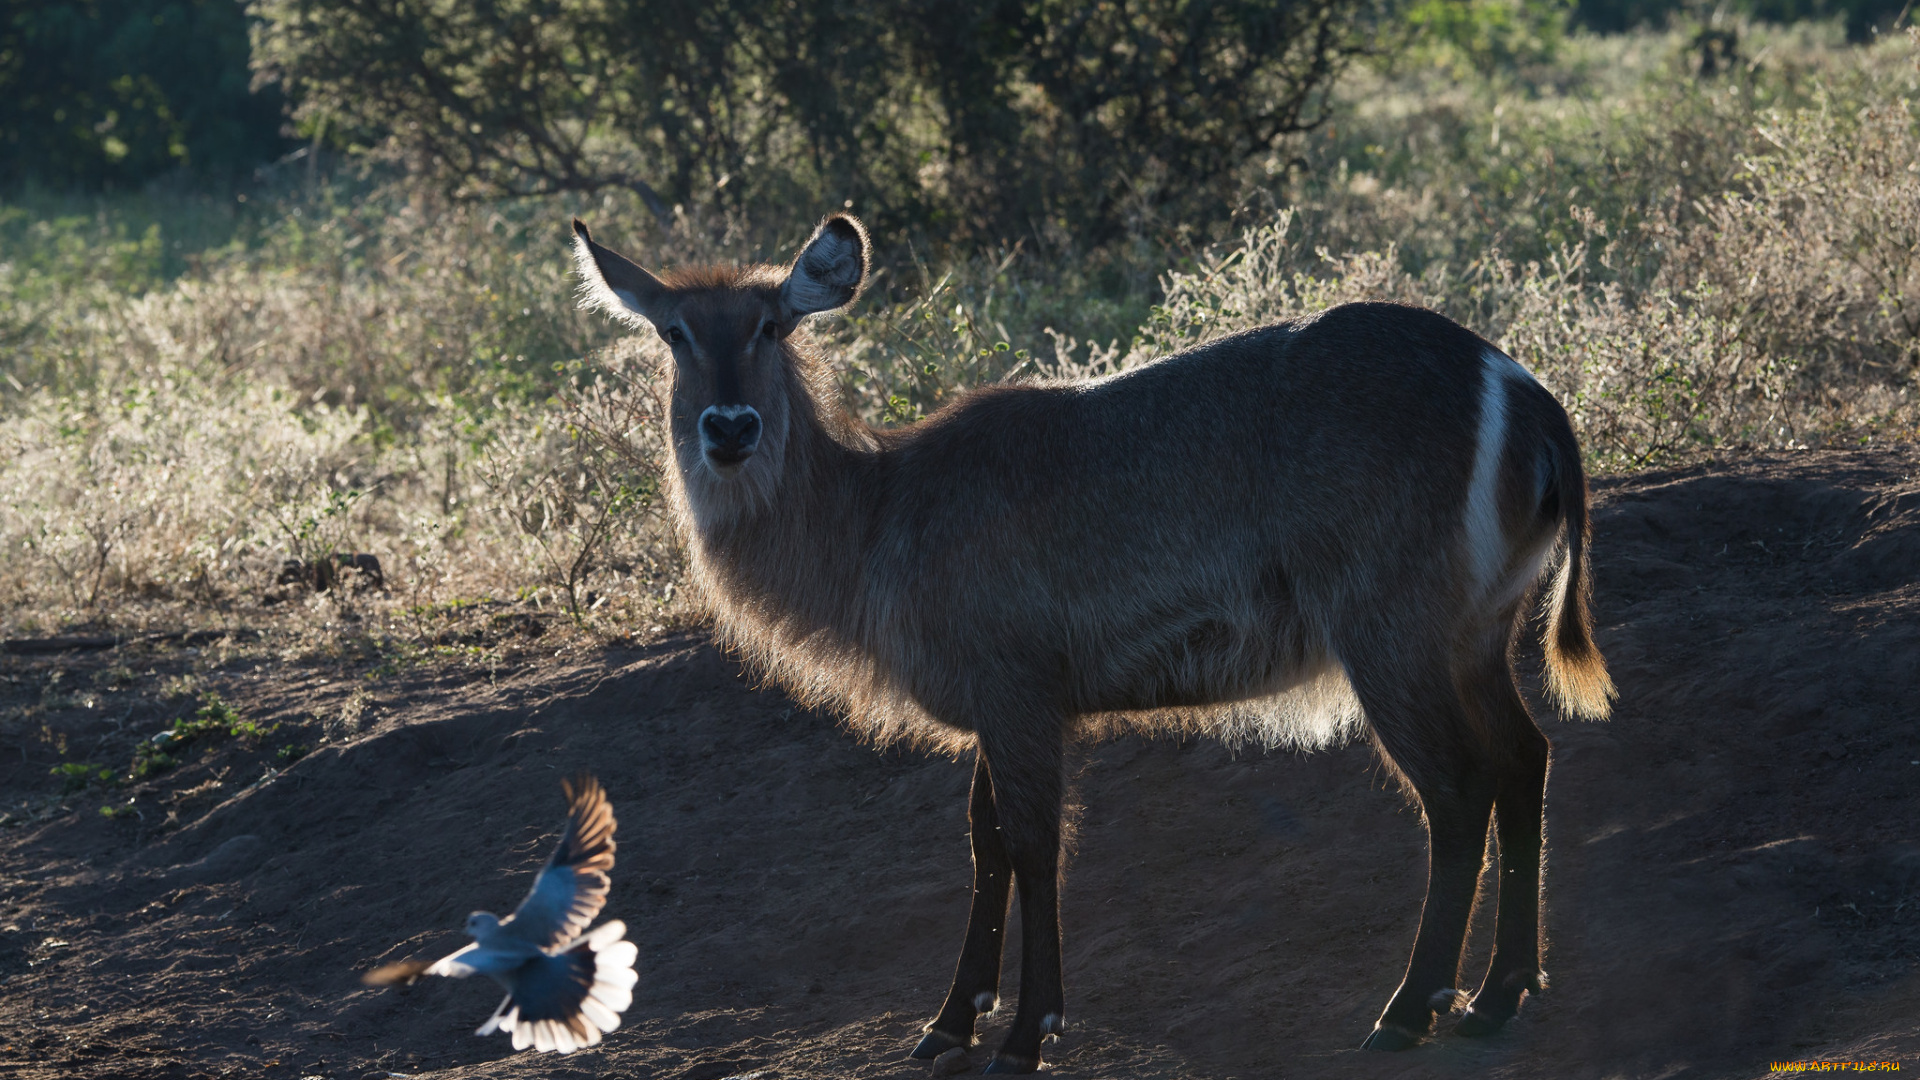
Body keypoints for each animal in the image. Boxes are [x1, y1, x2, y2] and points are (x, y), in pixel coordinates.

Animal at [572, 212, 1620, 1068]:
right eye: (674, 333)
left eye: (771, 326)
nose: (730, 428)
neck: (881, 514)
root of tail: (1520, 387)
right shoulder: (1002, 709)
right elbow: (986, 845)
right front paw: (950, 1023)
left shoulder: (1019, 697)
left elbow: (1035, 847)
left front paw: (1027, 1034)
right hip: (1475, 635)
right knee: (1525, 757)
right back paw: (1499, 995)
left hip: (1391, 635)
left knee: (1458, 788)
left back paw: (1410, 1010)